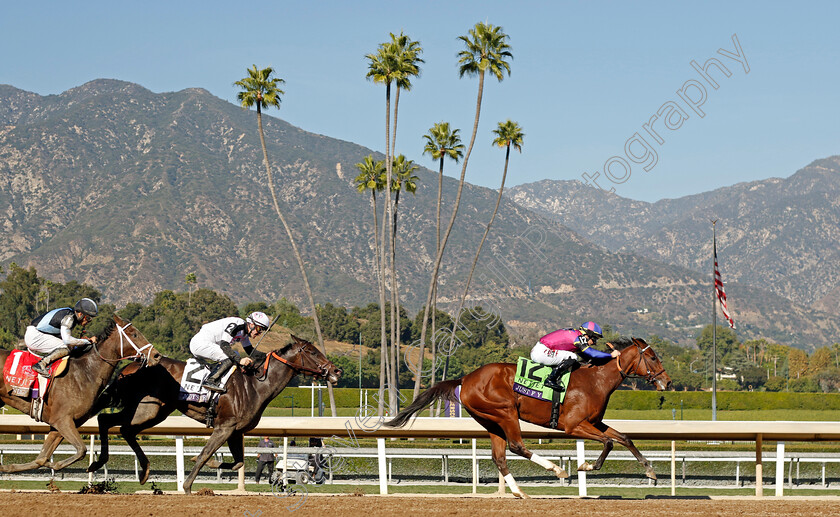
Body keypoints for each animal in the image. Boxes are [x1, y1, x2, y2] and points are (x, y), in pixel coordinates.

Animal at [0, 312, 161, 474]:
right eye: (134, 334)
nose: (156, 355)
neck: (86, 372)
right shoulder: (62, 421)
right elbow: (81, 450)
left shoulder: (59, 425)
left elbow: (41, 459)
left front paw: (9, 467)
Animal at [88, 332, 342, 494]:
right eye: (312, 352)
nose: (336, 370)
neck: (255, 384)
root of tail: (131, 365)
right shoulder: (224, 427)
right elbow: (204, 454)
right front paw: (187, 486)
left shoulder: (236, 431)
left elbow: (238, 463)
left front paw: (212, 466)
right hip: (147, 409)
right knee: (113, 423)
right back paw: (107, 464)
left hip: (155, 411)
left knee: (115, 425)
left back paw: (133, 469)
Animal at [386, 336, 668, 498]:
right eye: (653, 357)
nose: (667, 382)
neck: (595, 380)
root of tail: (465, 379)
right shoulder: (574, 426)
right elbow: (609, 443)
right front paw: (585, 466)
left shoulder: (594, 422)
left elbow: (624, 438)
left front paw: (651, 471)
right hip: (506, 412)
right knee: (517, 446)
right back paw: (557, 470)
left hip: (490, 421)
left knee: (500, 457)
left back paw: (519, 492)